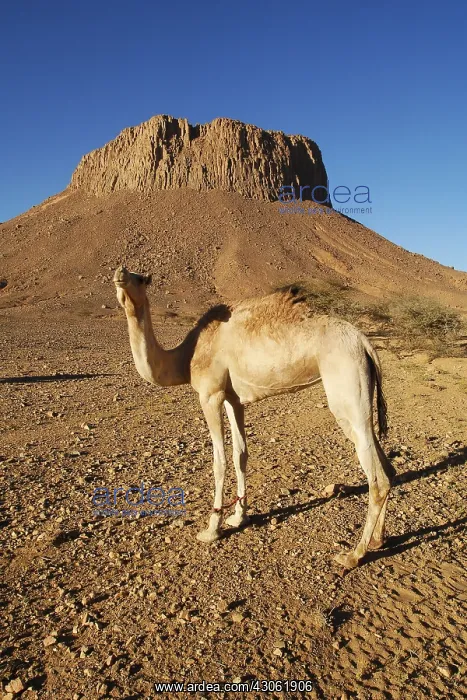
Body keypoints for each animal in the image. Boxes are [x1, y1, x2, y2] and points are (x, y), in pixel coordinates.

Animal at [113, 265, 395, 570]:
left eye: (141, 279)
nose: (120, 274)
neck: (186, 357)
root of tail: (365, 343)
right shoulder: (233, 399)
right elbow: (240, 454)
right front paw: (239, 516)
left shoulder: (210, 395)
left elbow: (219, 461)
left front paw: (211, 529)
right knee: (387, 467)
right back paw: (378, 540)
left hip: (346, 391)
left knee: (377, 478)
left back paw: (353, 555)